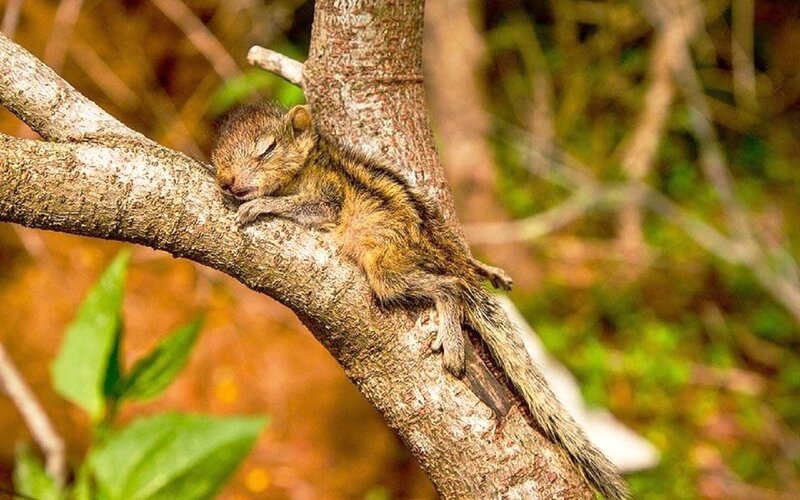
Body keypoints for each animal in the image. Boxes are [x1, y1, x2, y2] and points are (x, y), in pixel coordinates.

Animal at [211, 102, 630, 500]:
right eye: (218, 157)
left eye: (267, 149)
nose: (227, 182)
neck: (311, 161)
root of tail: (444, 255)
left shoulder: (327, 197)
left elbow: (302, 206)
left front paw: (259, 206)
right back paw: (484, 272)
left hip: (387, 271)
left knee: (450, 288)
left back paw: (454, 339)